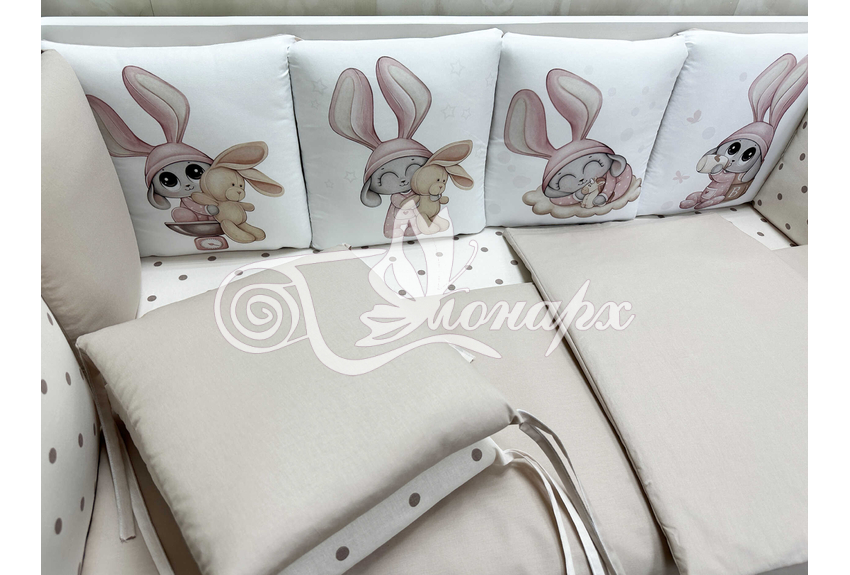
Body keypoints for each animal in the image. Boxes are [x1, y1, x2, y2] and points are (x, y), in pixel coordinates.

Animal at [86, 66, 219, 225]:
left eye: (195, 171)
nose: (188, 186)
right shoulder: (190, 201)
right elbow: (196, 205)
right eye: (168, 180)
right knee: (179, 212)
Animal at [505, 69, 637, 218]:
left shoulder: (609, 176)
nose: (581, 180)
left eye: (591, 163)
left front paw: (599, 198)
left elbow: (610, 183)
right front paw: (579, 194)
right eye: (563, 178)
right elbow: (563, 198)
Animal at [680, 53, 808, 210]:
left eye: (748, 155)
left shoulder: (730, 179)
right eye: (733, 148)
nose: (732, 160)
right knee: (695, 196)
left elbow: (723, 178)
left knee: (711, 200)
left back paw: (701, 204)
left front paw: (717, 168)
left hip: (719, 198)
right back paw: (688, 202)